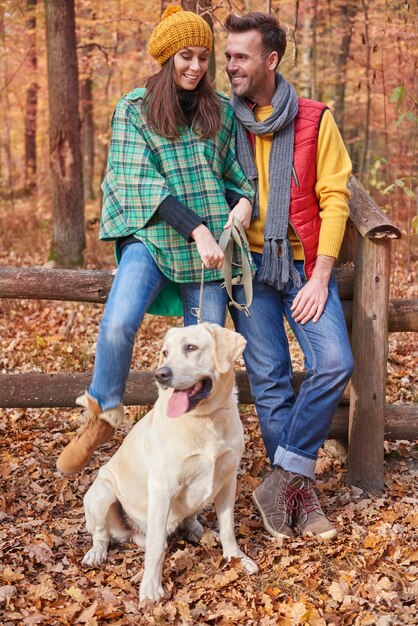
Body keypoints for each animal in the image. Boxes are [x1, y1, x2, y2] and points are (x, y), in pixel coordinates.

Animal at [81, 322, 258, 600]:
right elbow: (155, 549)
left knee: (189, 520)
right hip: (101, 492)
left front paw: (236, 558)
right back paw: (96, 553)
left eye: (191, 347)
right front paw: (151, 588)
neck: (204, 419)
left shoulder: (228, 480)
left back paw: (203, 532)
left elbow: (228, 527)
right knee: (102, 535)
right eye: (165, 352)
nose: (160, 375)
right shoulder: (162, 489)